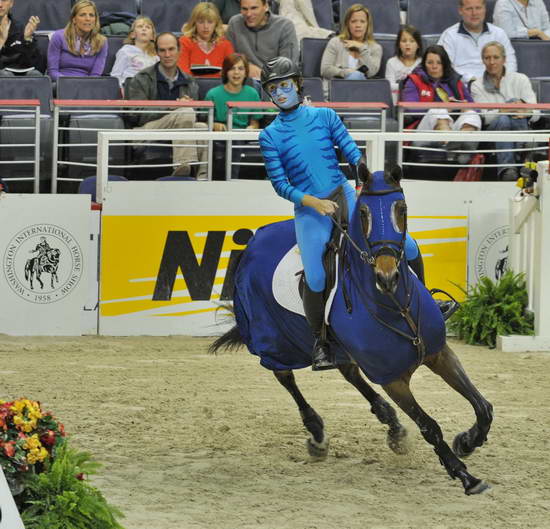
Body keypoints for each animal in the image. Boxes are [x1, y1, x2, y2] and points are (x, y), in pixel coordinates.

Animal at [212, 167, 496, 492]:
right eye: (363, 213)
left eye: (402, 209)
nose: (387, 277)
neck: (395, 307)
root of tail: (252, 246)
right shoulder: (393, 379)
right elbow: (429, 426)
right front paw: (464, 474)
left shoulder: (439, 353)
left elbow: (483, 407)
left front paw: (467, 442)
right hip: (273, 341)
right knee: (286, 378)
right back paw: (318, 435)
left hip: (335, 345)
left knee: (349, 372)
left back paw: (392, 425)